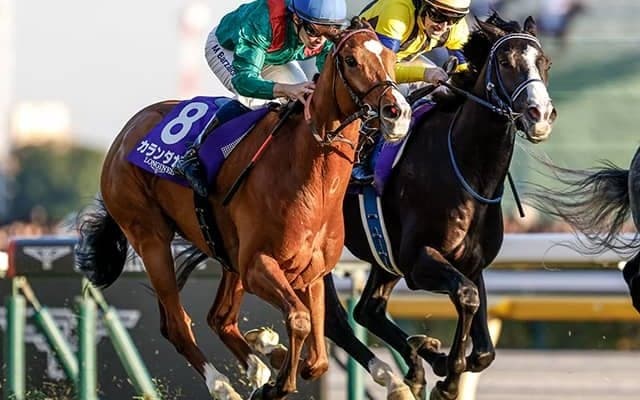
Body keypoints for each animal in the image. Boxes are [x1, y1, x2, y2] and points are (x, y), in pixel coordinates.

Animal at [75, 18, 411, 400]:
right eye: (352, 60)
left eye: (391, 57)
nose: (397, 112)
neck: (310, 182)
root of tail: (125, 134)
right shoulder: (258, 265)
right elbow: (300, 320)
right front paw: (277, 384)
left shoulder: (312, 274)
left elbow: (318, 358)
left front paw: (278, 363)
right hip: (151, 238)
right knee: (177, 324)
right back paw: (224, 385)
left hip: (227, 254)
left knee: (220, 319)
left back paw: (260, 360)